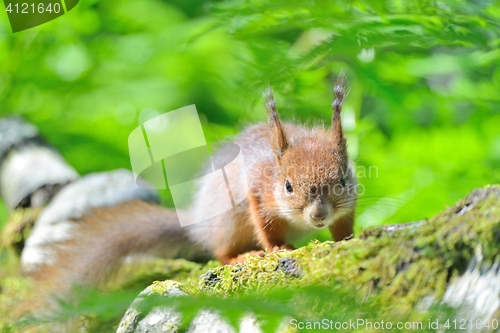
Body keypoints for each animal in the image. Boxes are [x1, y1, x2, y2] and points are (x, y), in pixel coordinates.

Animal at [32, 72, 356, 288]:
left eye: (342, 179)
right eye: (288, 186)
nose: (318, 215)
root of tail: (199, 224)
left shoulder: (348, 204)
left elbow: (344, 224)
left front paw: (347, 240)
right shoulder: (257, 192)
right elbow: (265, 226)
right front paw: (278, 249)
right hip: (227, 223)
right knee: (219, 249)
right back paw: (238, 256)